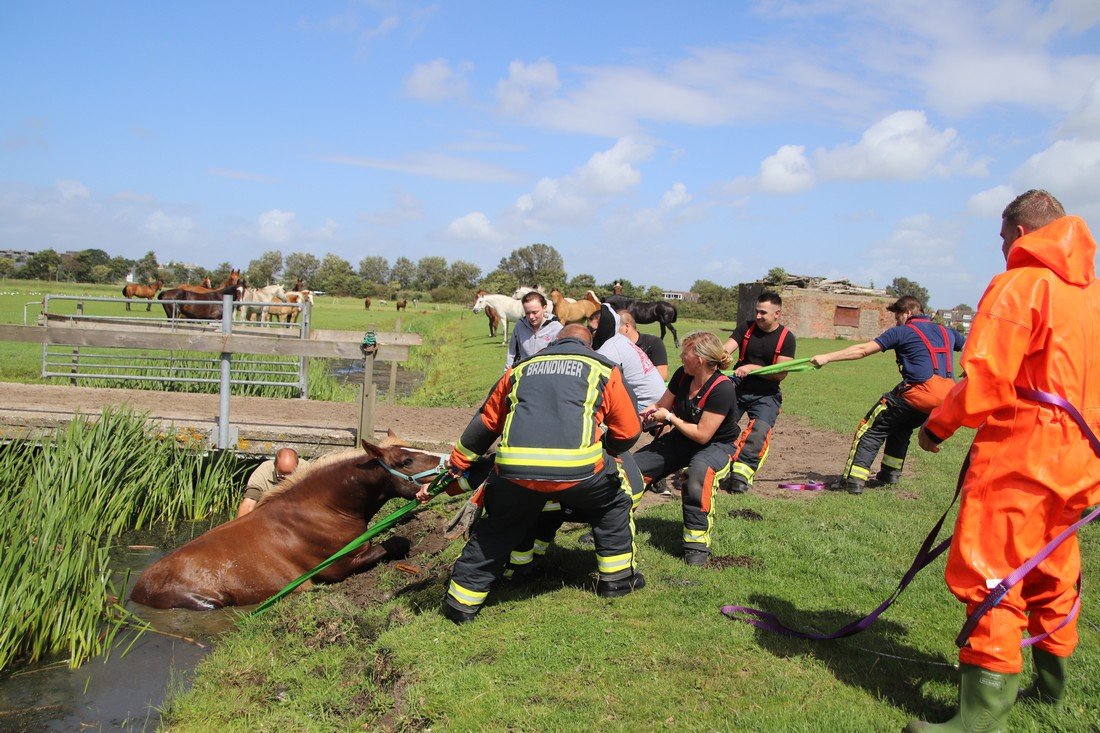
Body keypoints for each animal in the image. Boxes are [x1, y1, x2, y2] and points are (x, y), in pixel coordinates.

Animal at [126, 440, 440, 603]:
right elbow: (397, 543)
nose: (447, 463)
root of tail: (137, 592)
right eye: (407, 461)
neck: (324, 508)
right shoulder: (339, 566)